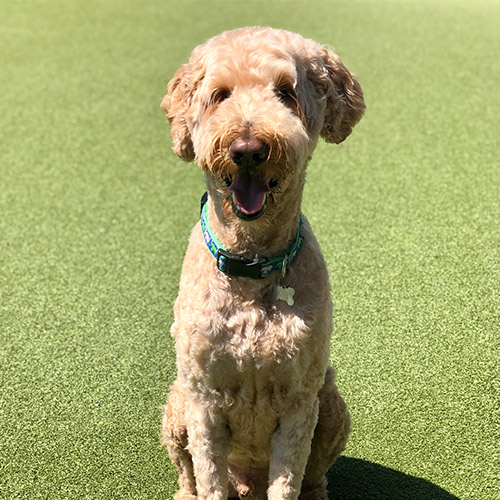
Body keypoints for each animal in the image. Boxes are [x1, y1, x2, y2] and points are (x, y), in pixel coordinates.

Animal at [162, 28, 366, 500]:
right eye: (219, 95)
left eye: (286, 92)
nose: (248, 149)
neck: (251, 265)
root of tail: (247, 484)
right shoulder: (203, 402)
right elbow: (208, 479)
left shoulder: (299, 403)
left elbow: (289, 480)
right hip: (176, 406)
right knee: (187, 474)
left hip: (331, 404)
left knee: (315, 475)